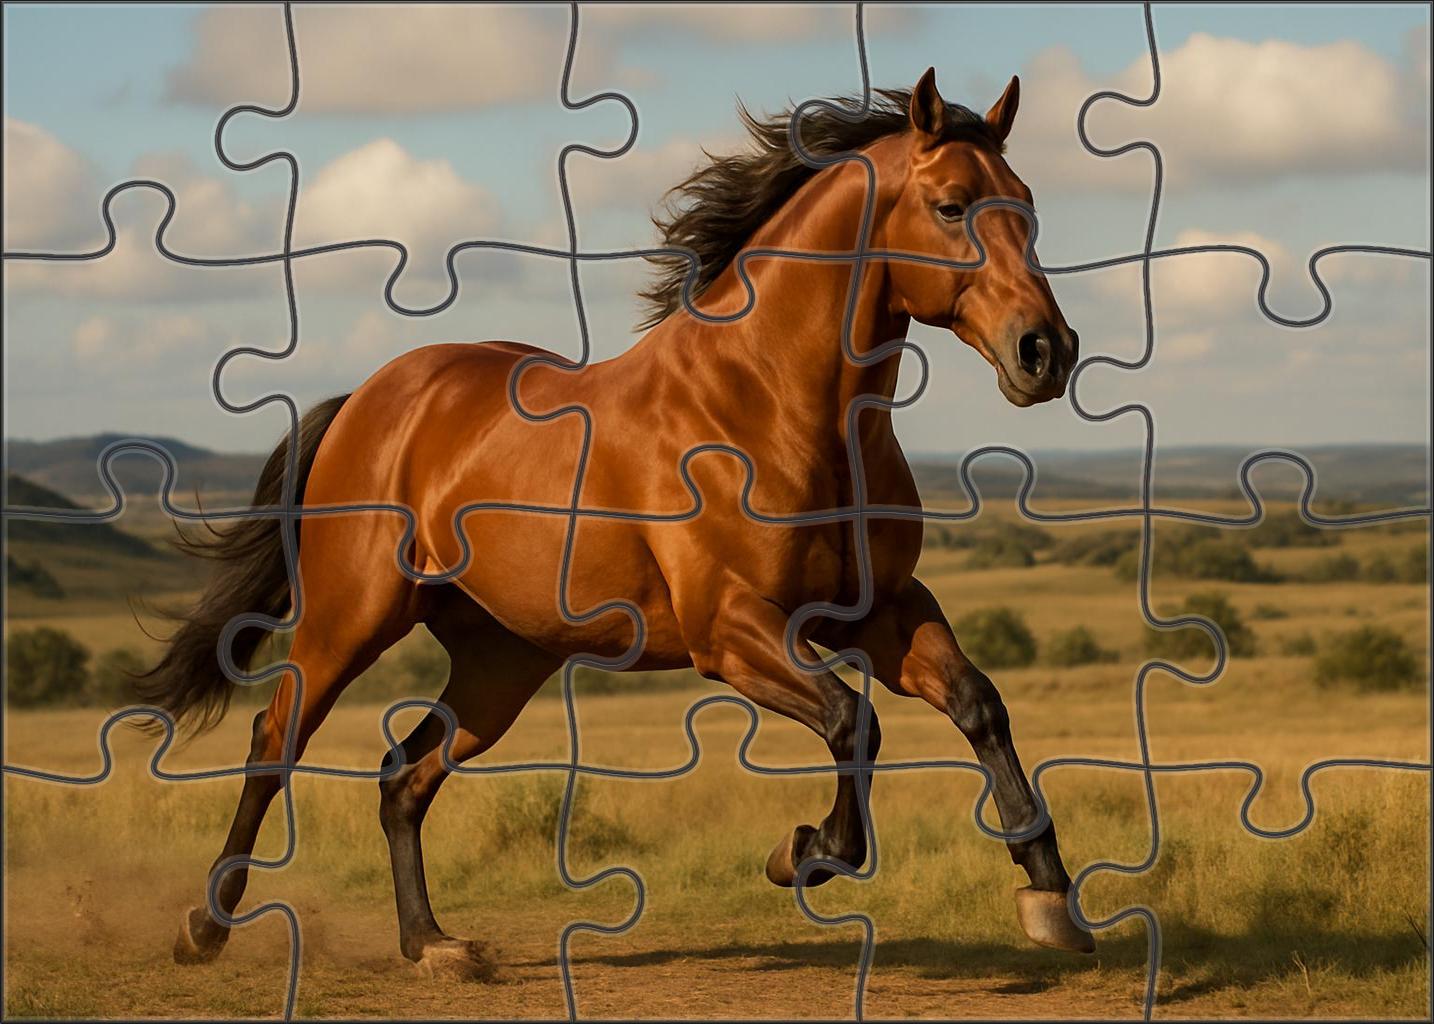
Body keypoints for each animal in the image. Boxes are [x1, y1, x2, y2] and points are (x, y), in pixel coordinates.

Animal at [144, 68, 1091, 976]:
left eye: (1030, 206)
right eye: (952, 206)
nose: (1046, 352)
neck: (774, 407)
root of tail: (373, 399)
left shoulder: (883, 609)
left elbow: (977, 705)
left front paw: (1052, 899)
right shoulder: (732, 631)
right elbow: (851, 720)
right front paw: (805, 852)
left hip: (499, 664)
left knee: (403, 777)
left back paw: (434, 944)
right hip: (350, 621)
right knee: (275, 741)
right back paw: (205, 928)